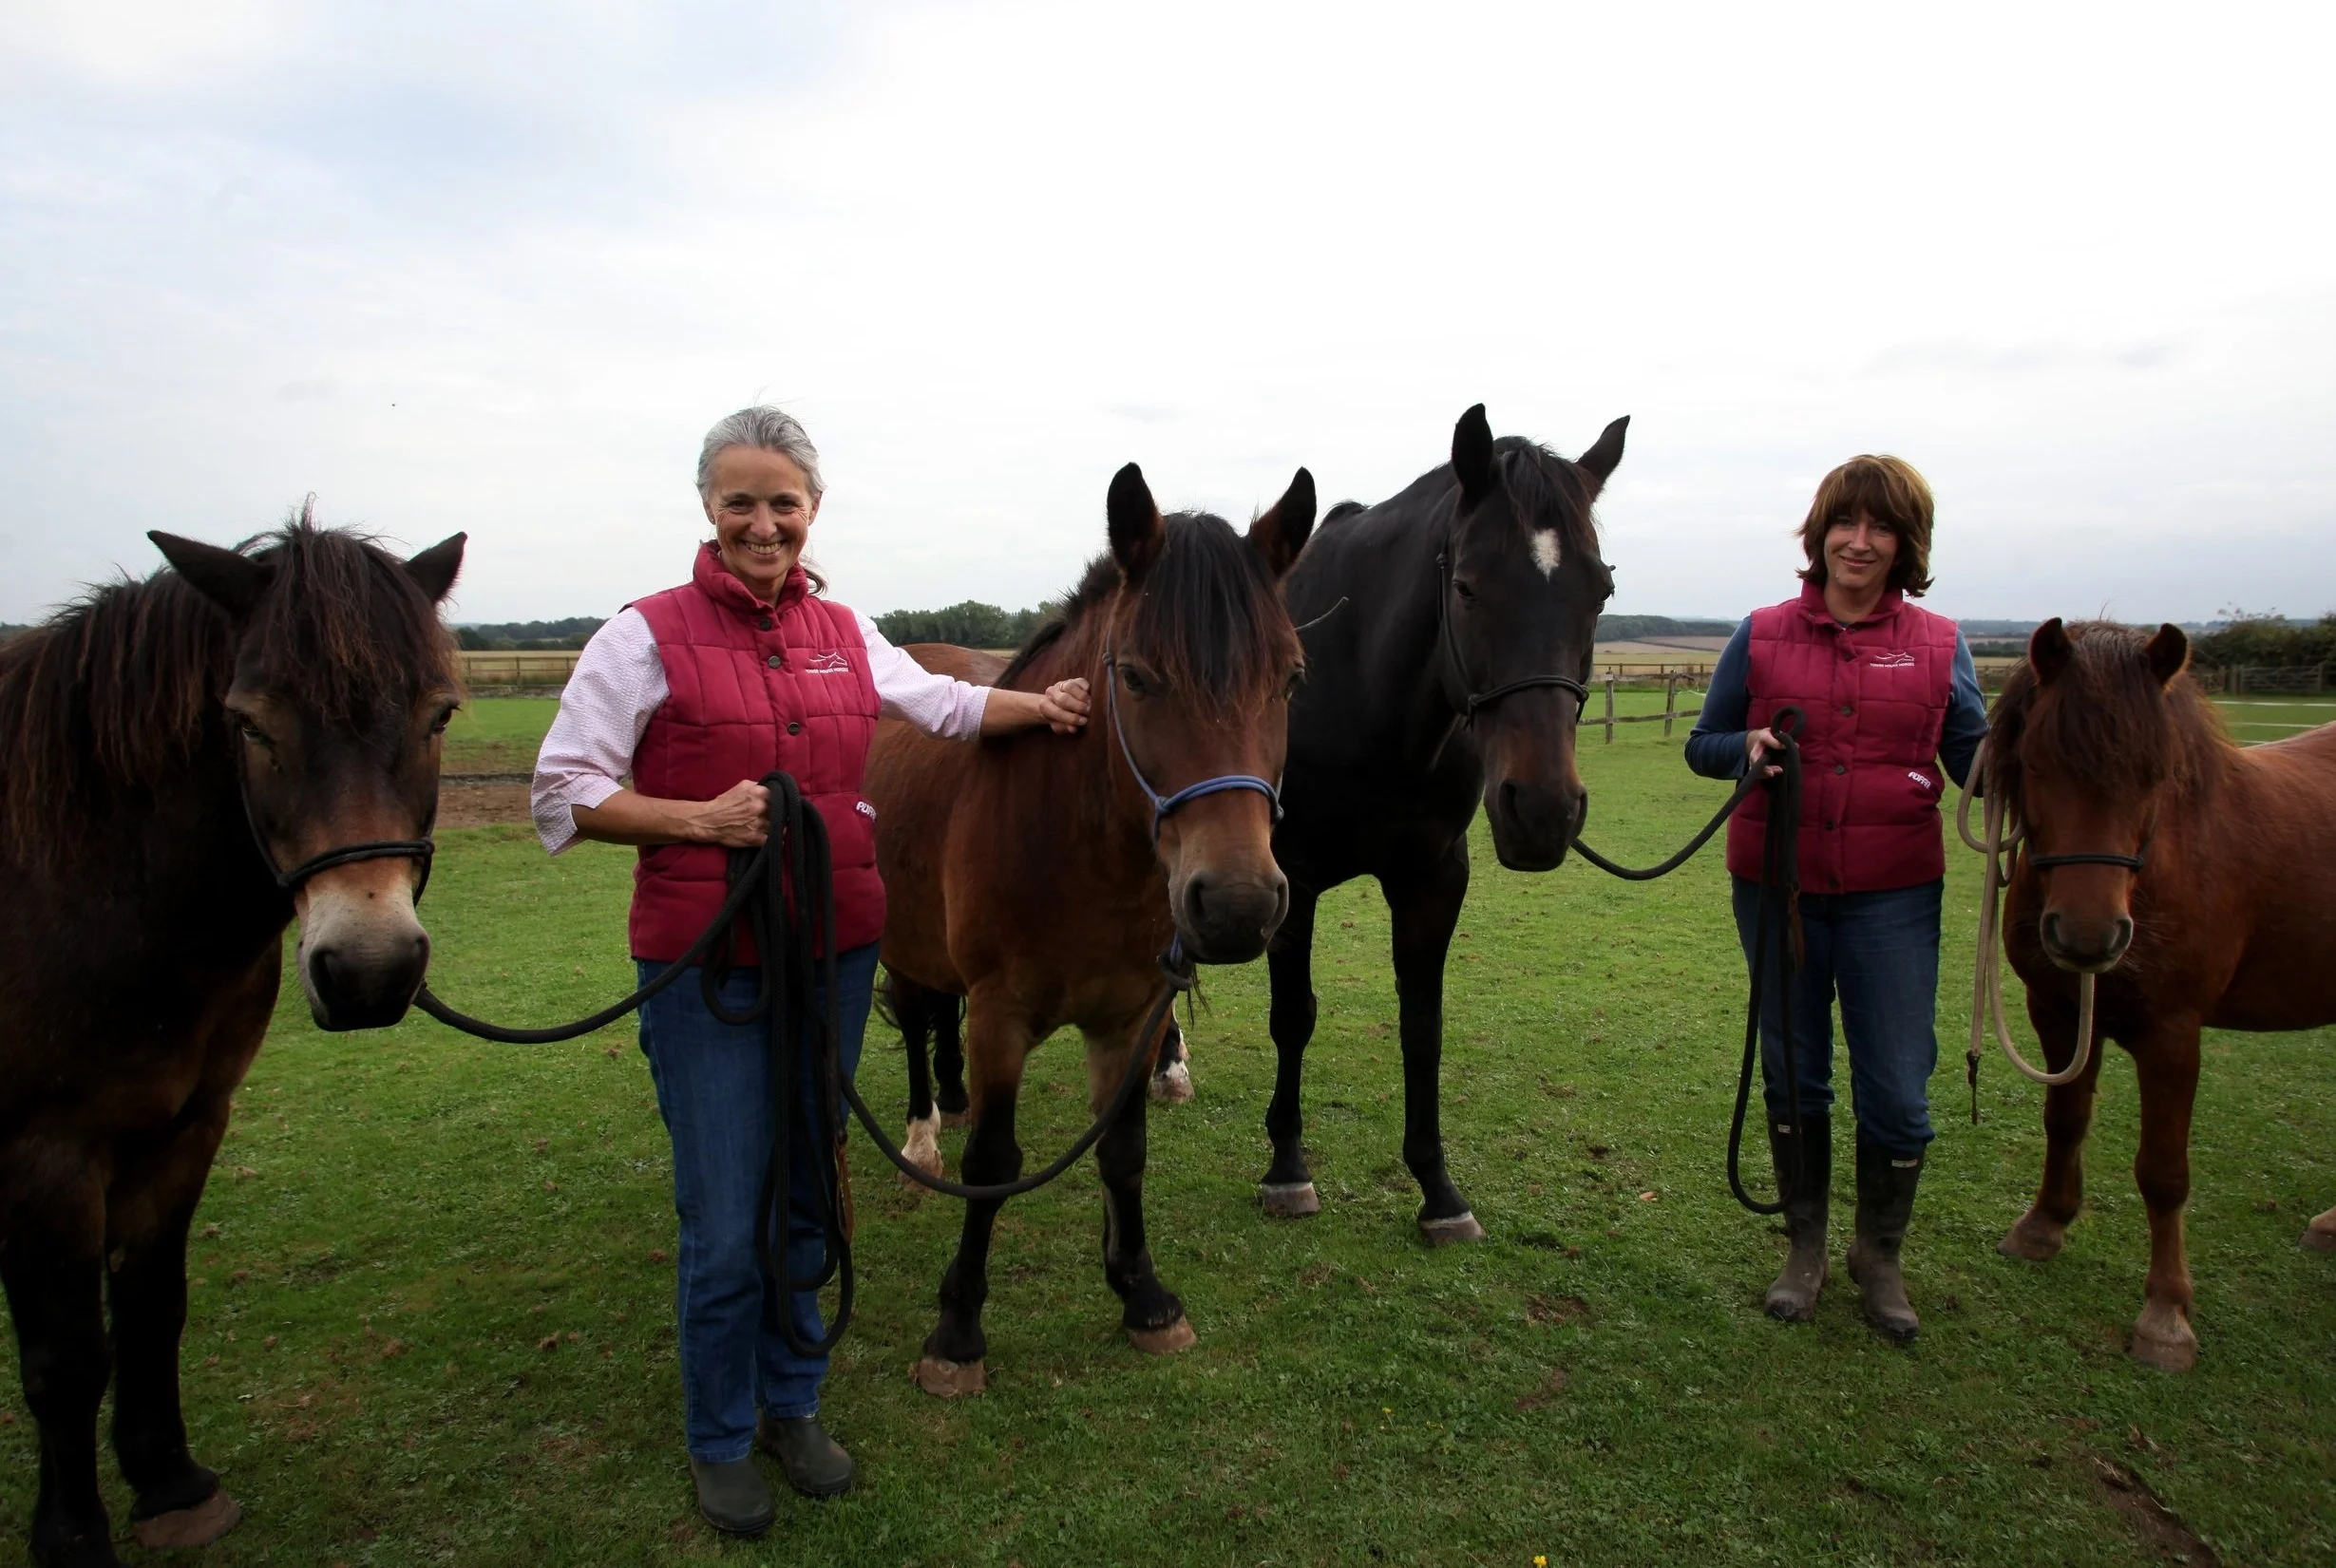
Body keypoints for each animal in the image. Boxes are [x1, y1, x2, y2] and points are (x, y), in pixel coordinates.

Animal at [0, 513, 464, 1567]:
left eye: (438, 715)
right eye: (250, 722)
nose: (370, 969)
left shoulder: (187, 1123)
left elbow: (150, 1302)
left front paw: (170, 1482)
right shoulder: (40, 1151)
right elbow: (63, 1355)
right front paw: (73, 1535)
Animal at [866, 462, 1312, 1396]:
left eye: (1289, 679)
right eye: (1136, 677)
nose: (1238, 903)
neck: (1076, 848)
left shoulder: (1129, 1017)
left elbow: (1123, 1149)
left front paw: (1142, 1294)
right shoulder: (1002, 1016)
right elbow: (992, 1164)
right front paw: (956, 1330)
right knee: (921, 1022)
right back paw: (924, 1136)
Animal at [1257, 404, 1624, 1242]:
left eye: (1600, 591)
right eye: (1465, 586)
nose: (1543, 809)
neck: (1358, 687)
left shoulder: (1433, 877)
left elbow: (1422, 1026)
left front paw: (1438, 1188)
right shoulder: (1290, 876)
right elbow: (1293, 1015)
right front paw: (1287, 1166)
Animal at [1987, 618, 2336, 1370]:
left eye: (2156, 774)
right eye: (2036, 762)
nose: (2088, 936)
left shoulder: (2173, 1032)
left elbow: (2164, 1171)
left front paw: (2166, 1314)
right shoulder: (2057, 1011)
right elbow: (2065, 1120)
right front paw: (2042, 1226)